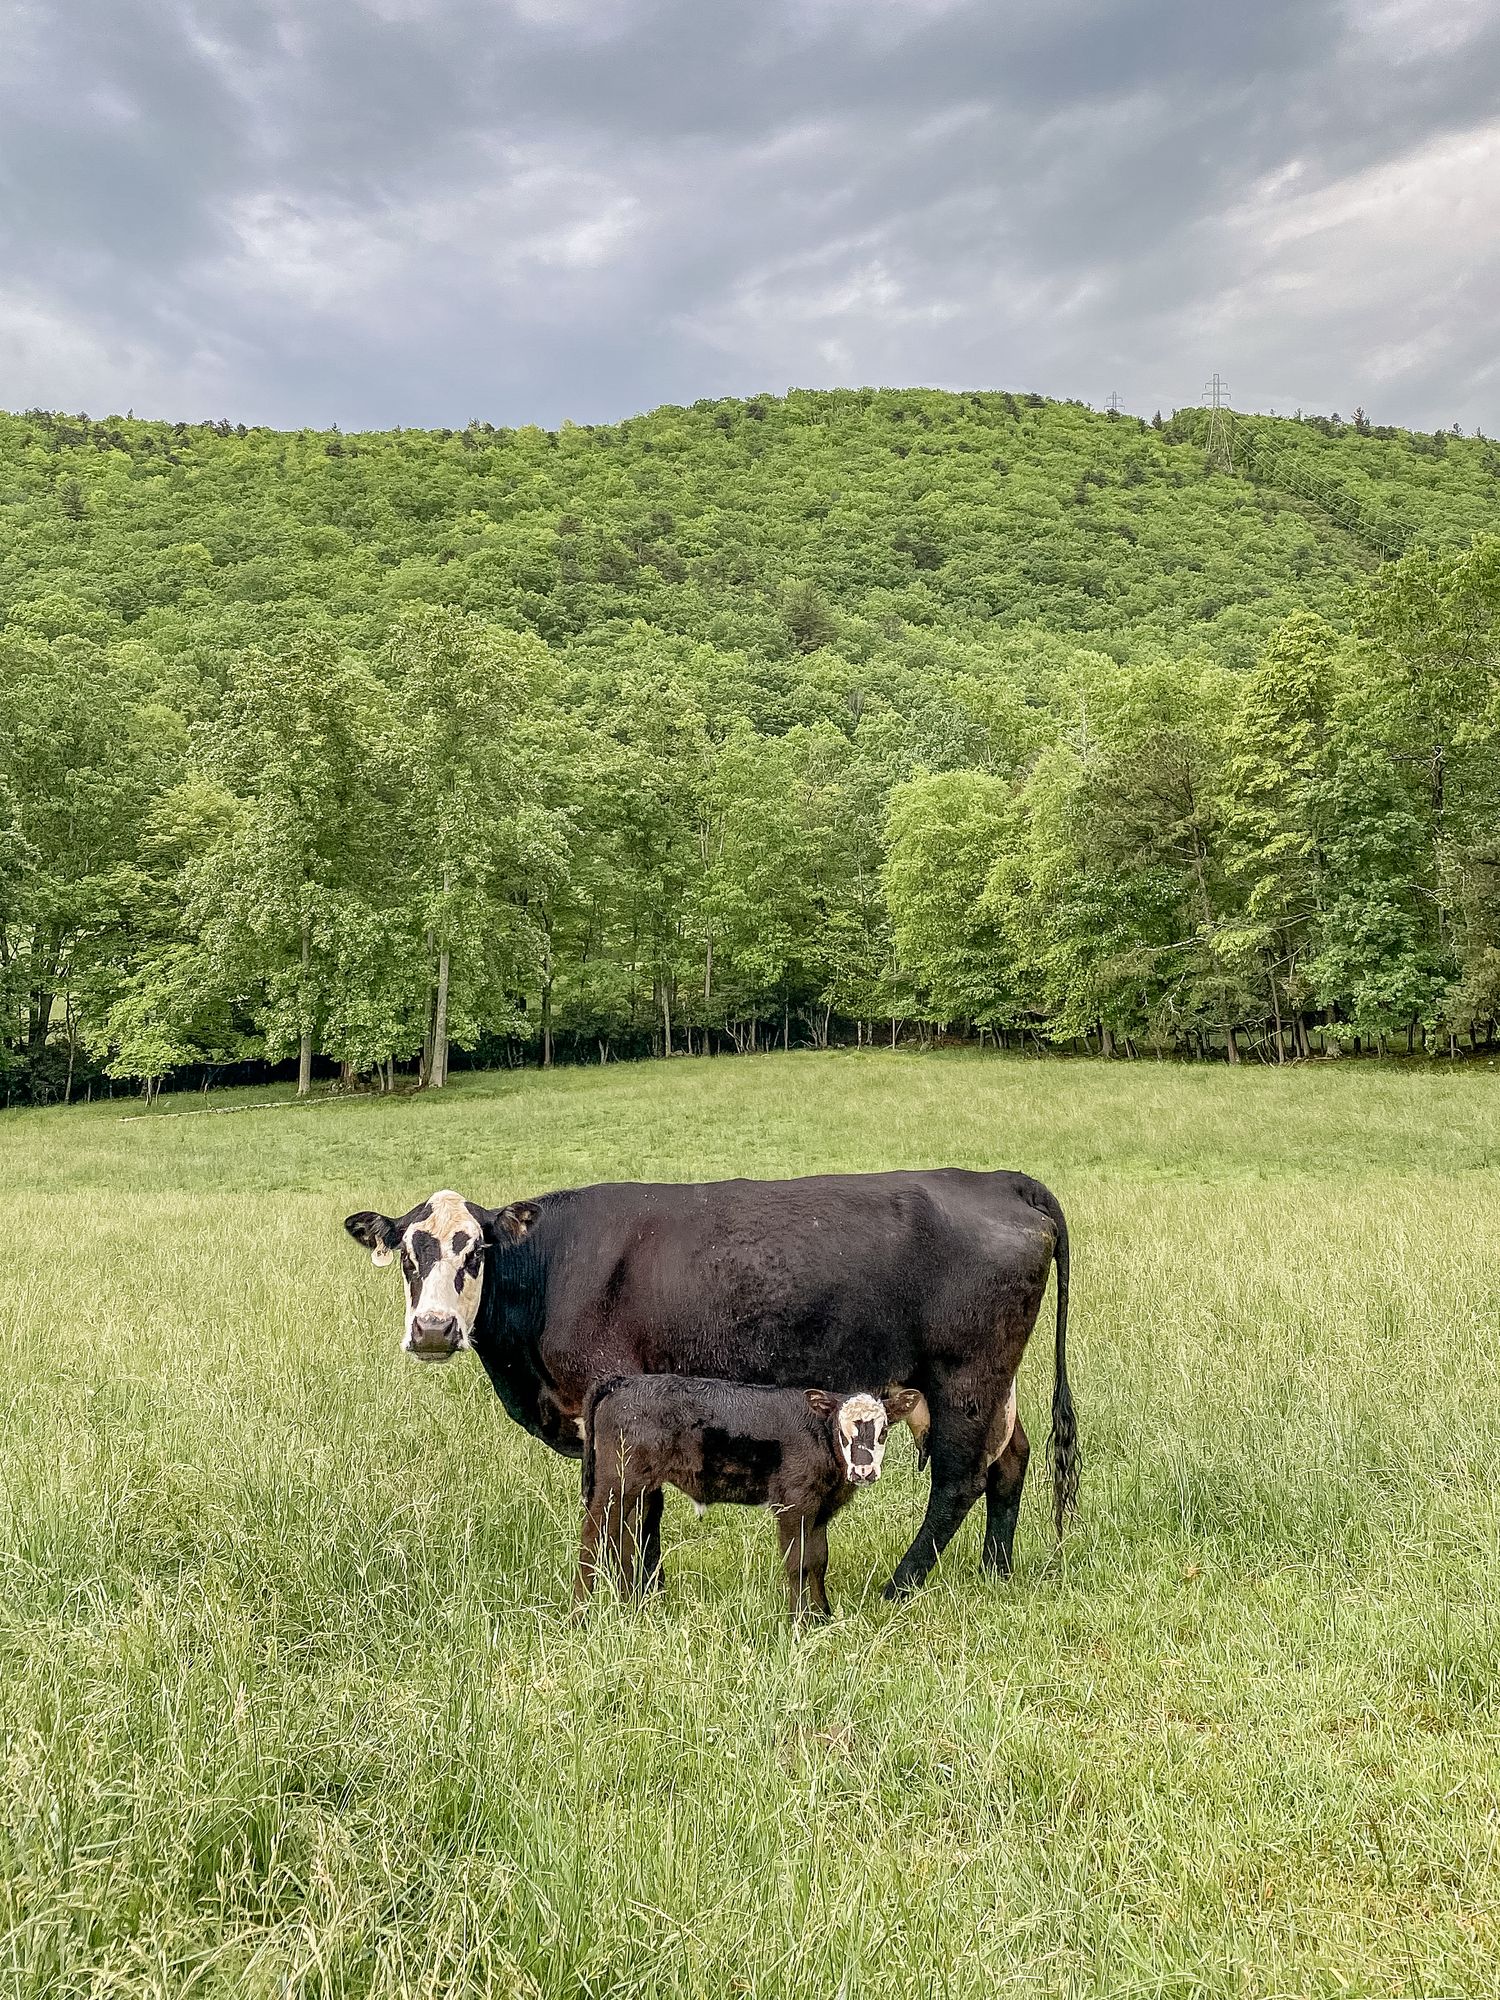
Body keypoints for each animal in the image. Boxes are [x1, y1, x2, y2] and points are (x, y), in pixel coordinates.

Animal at [576, 1376, 923, 1620]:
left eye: (883, 1432)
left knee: (622, 1541)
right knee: (592, 1536)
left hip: (638, 1488)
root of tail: (622, 1382)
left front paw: (823, 1616)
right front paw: (799, 1621)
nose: (863, 1471)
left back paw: (631, 1607)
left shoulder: (820, 1509)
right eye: (842, 1431)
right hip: (615, 1482)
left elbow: (818, 1560)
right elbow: (797, 1562)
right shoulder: (793, 1503)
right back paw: (581, 1614)